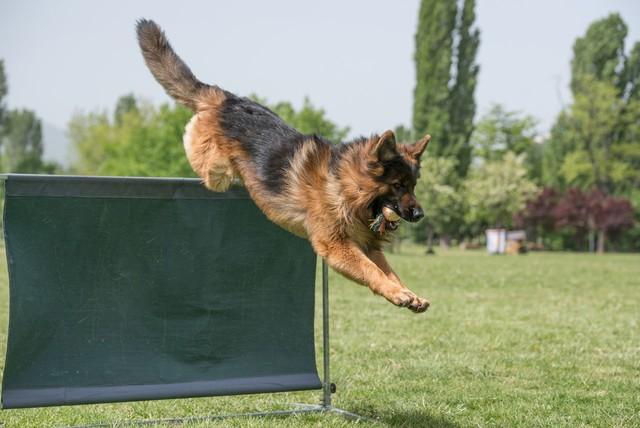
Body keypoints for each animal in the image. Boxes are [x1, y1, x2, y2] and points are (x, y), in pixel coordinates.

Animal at [138, 20, 432, 312]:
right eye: (397, 185)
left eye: (413, 186)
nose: (420, 215)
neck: (344, 185)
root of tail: (227, 99)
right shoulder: (337, 247)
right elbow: (372, 271)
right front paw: (398, 294)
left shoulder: (369, 246)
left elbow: (389, 272)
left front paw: (407, 292)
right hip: (215, 170)